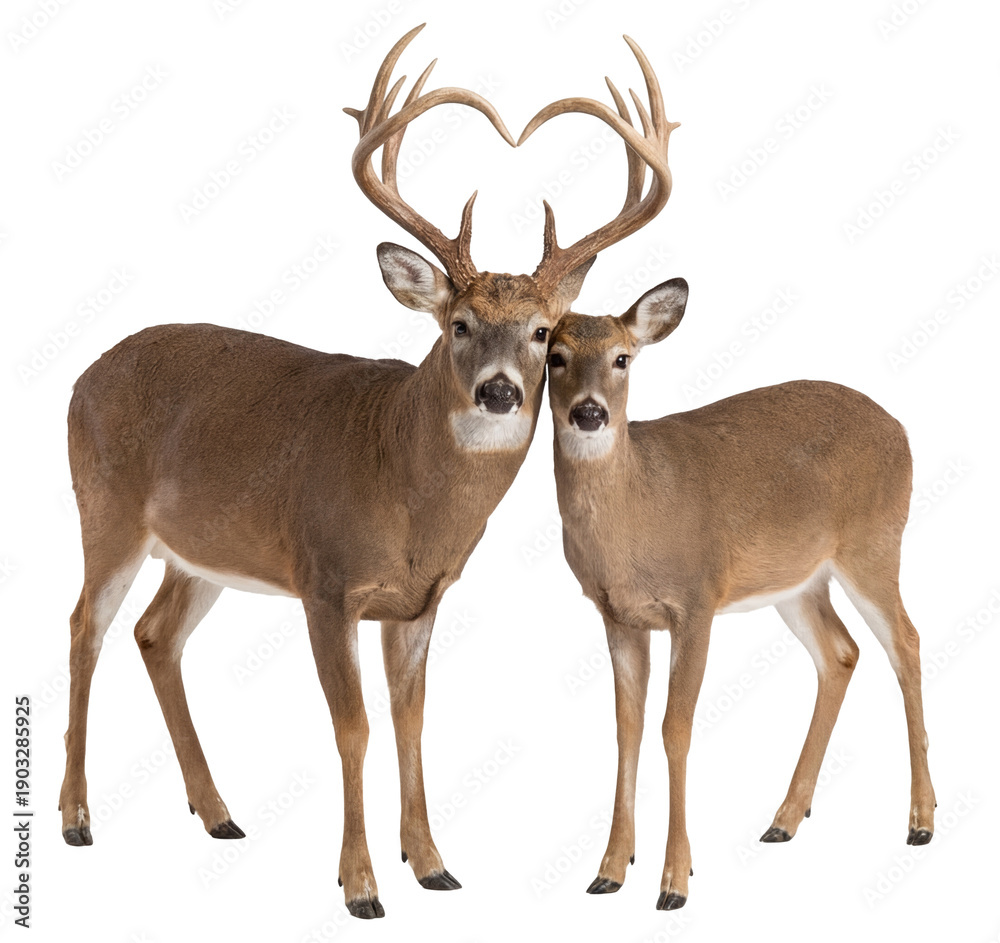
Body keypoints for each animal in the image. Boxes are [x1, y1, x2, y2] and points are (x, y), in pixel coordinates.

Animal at [59, 26, 680, 919]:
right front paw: (360, 884)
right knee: (85, 626)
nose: (499, 391)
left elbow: (410, 720)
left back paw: (218, 813)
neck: (406, 488)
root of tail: (80, 377)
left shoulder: (418, 598)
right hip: (103, 507)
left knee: (154, 633)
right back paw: (76, 817)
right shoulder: (325, 580)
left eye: (542, 333)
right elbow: (352, 726)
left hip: (201, 550)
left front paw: (433, 862)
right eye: (459, 323)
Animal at [544, 282, 936, 911]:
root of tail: (900, 426)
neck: (635, 514)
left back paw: (920, 820)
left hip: (874, 545)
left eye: (622, 358)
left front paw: (675, 881)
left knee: (907, 641)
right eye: (554, 356)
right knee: (841, 652)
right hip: (797, 582)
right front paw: (609, 870)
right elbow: (626, 728)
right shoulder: (618, 615)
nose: (589, 412)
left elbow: (674, 728)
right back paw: (784, 819)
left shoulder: (696, 600)